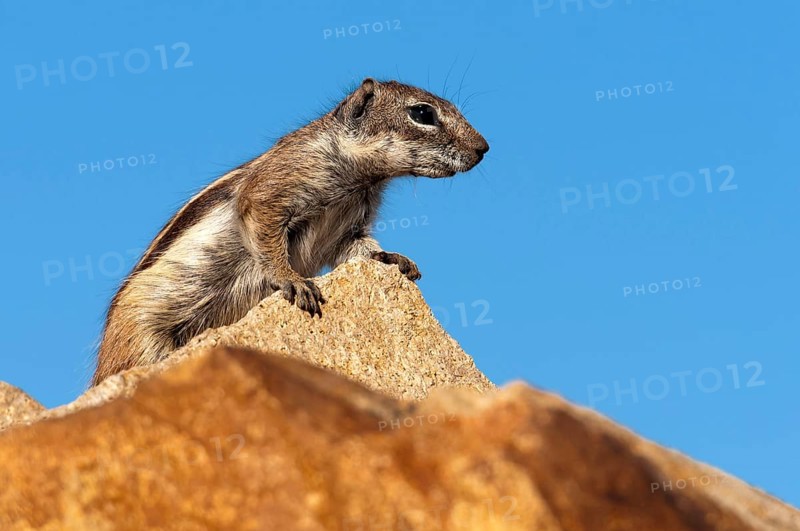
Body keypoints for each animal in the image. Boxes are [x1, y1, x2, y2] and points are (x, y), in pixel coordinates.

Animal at [91, 78, 489, 386]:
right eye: (422, 114)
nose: (483, 148)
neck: (359, 179)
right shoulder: (272, 194)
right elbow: (268, 240)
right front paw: (292, 280)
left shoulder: (349, 230)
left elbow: (359, 250)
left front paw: (393, 258)